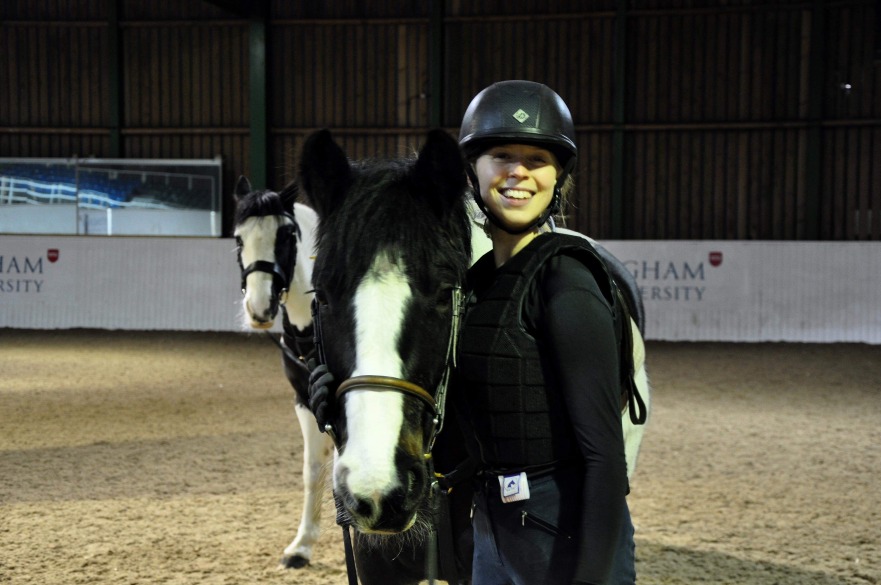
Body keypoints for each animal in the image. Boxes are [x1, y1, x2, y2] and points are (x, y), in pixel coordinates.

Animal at [230, 177, 334, 564]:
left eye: (286, 235)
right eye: (238, 238)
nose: (259, 308)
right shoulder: (305, 400)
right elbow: (313, 469)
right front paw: (302, 545)